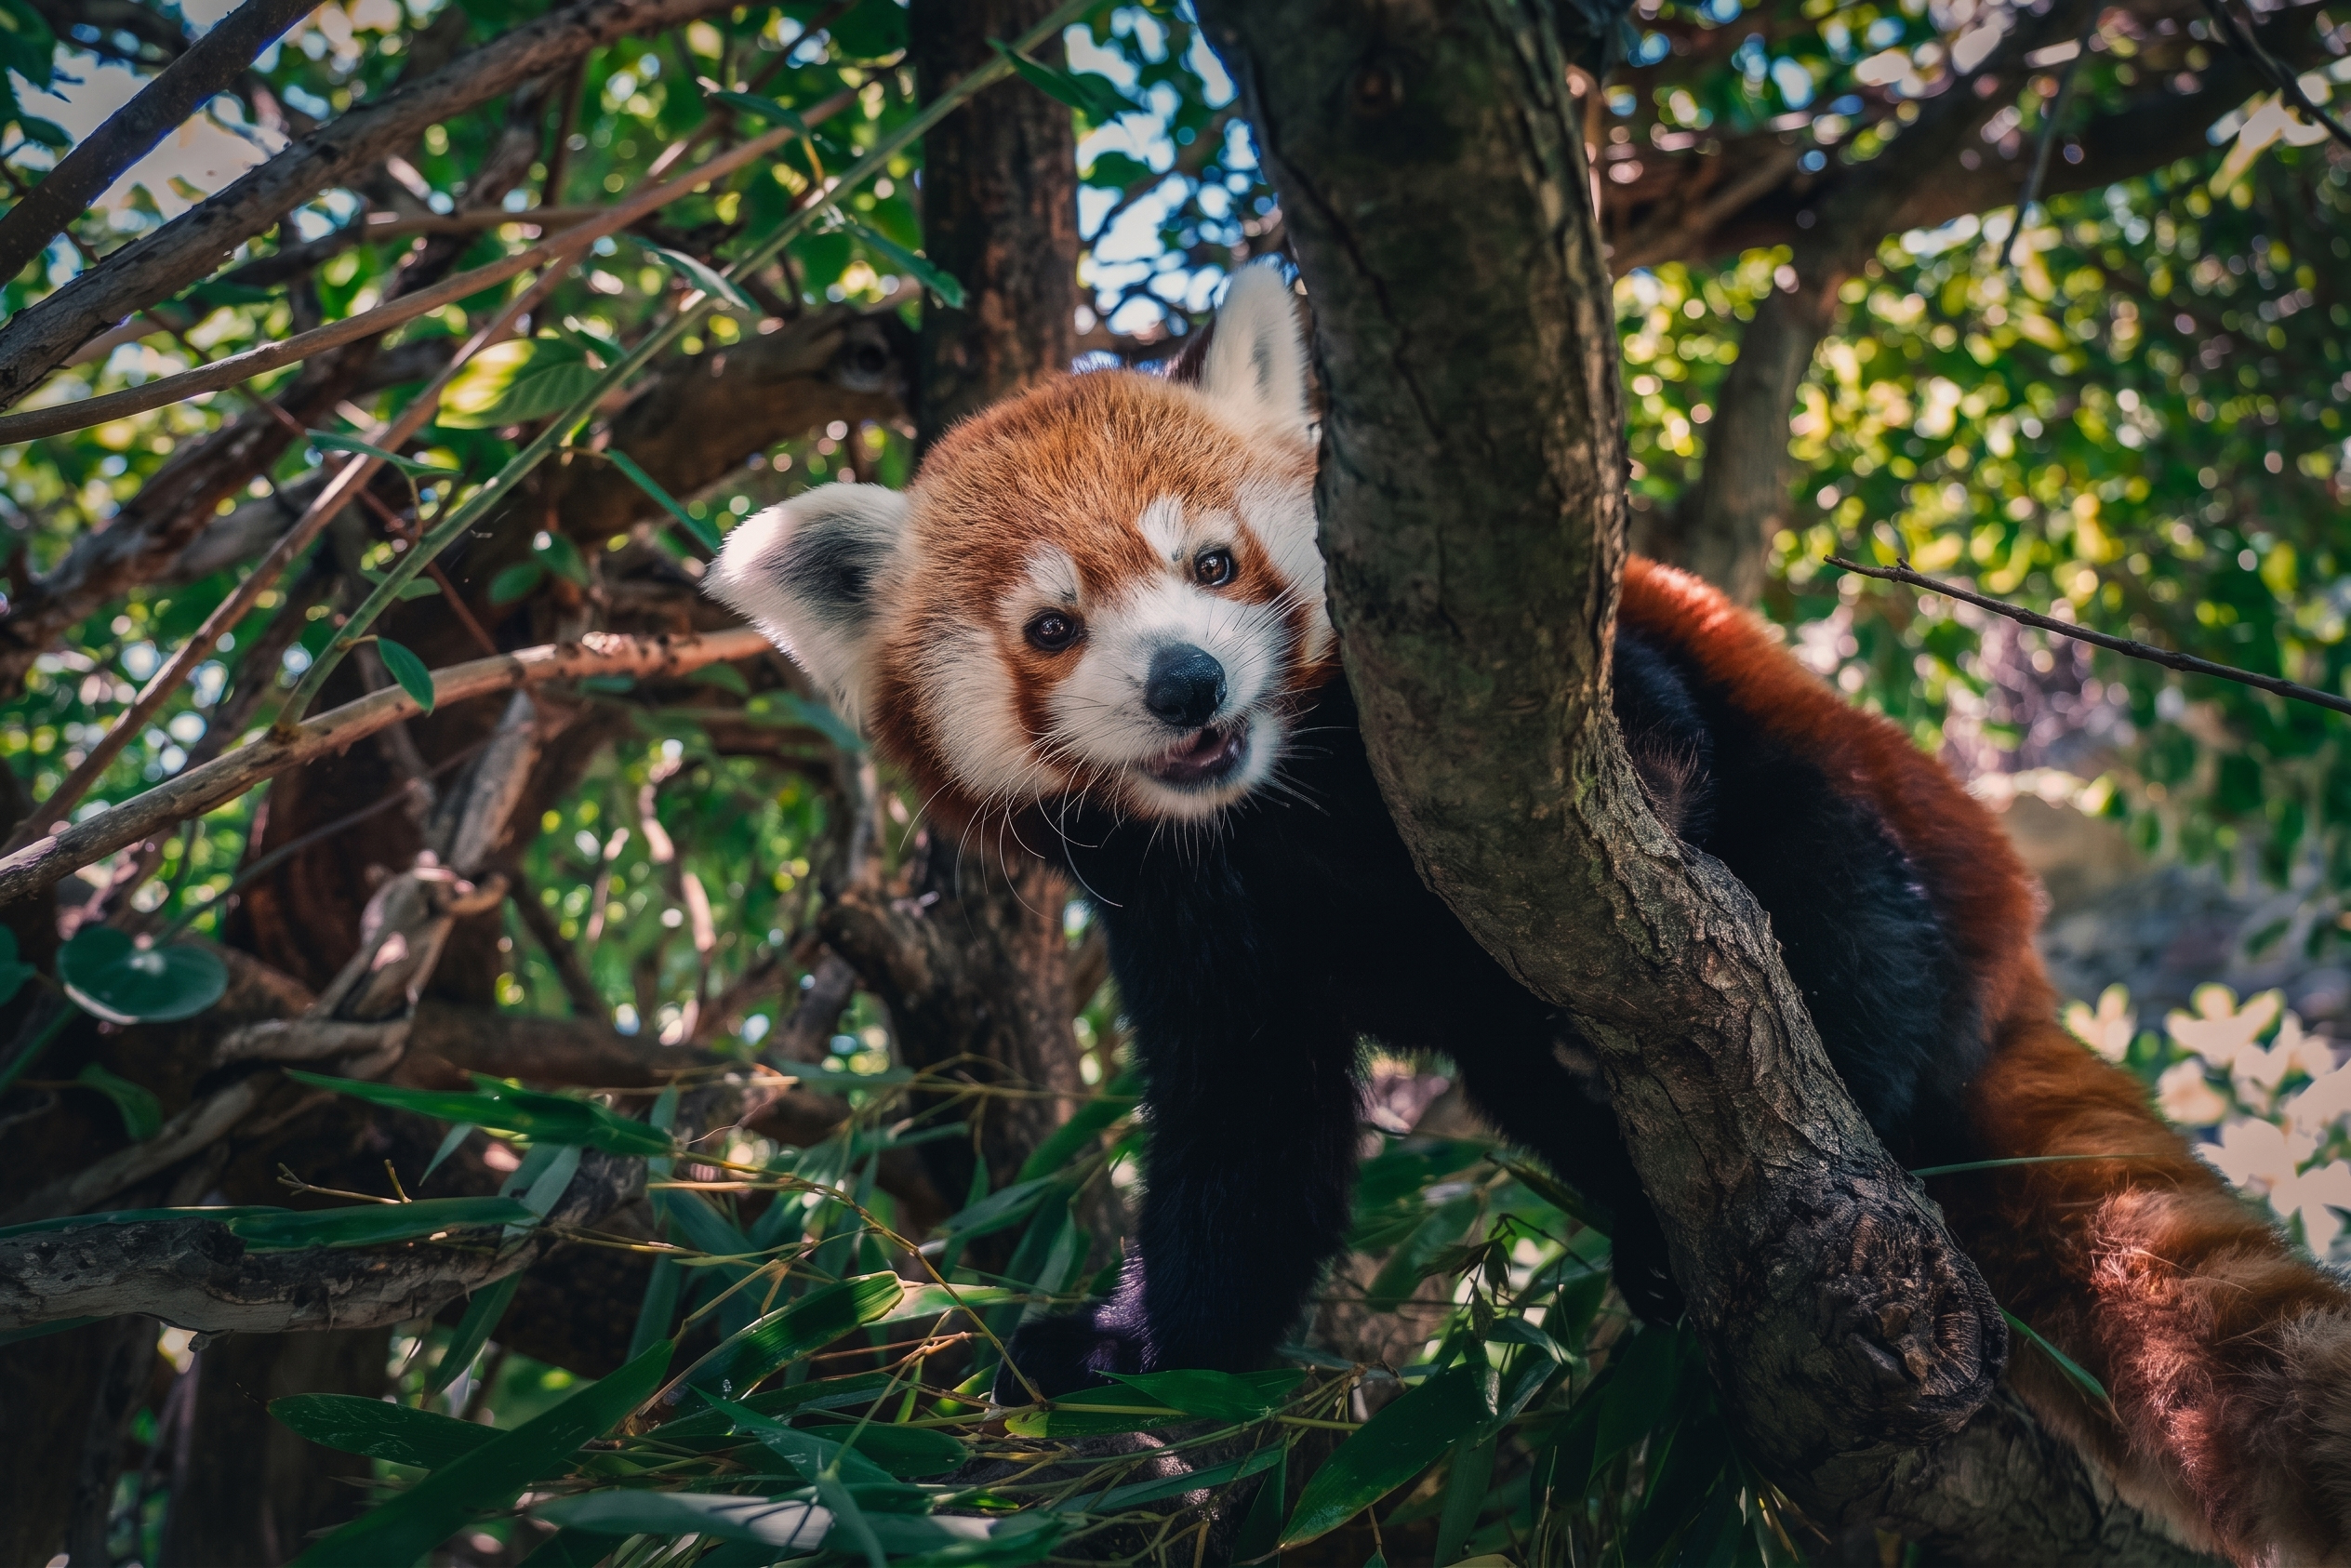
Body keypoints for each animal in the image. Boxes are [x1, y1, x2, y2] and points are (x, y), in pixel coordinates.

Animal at [711, 264, 2351, 1564]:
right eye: (1052, 627)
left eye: (1213, 564)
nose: (1187, 681)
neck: (1278, 811)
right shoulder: (1187, 918)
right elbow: (1253, 1151)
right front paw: (1130, 1349)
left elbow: (1651, 741)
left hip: (1881, 819)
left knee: (1837, 912)